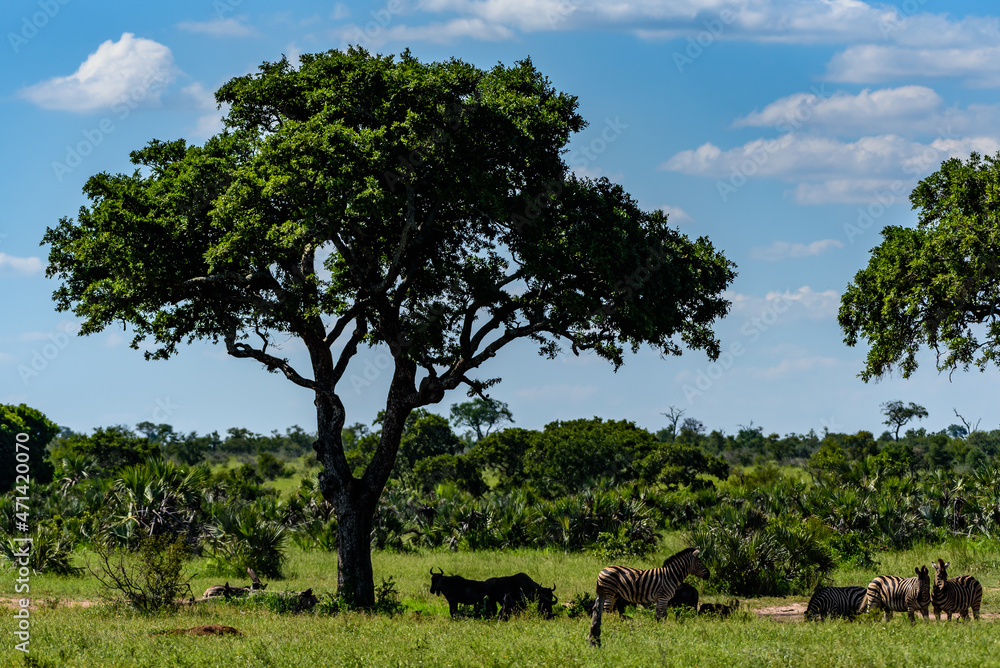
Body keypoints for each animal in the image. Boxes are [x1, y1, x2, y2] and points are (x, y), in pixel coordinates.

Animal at [584, 548, 712, 648]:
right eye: (700, 561)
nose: (709, 574)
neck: (671, 576)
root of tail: (602, 571)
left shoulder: (659, 599)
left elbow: (657, 617)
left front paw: (656, 631)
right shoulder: (663, 597)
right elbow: (663, 616)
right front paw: (664, 631)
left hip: (606, 593)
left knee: (597, 610)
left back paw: (595, 634)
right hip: (609, 593)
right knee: (606, 612)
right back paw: (610, 628)